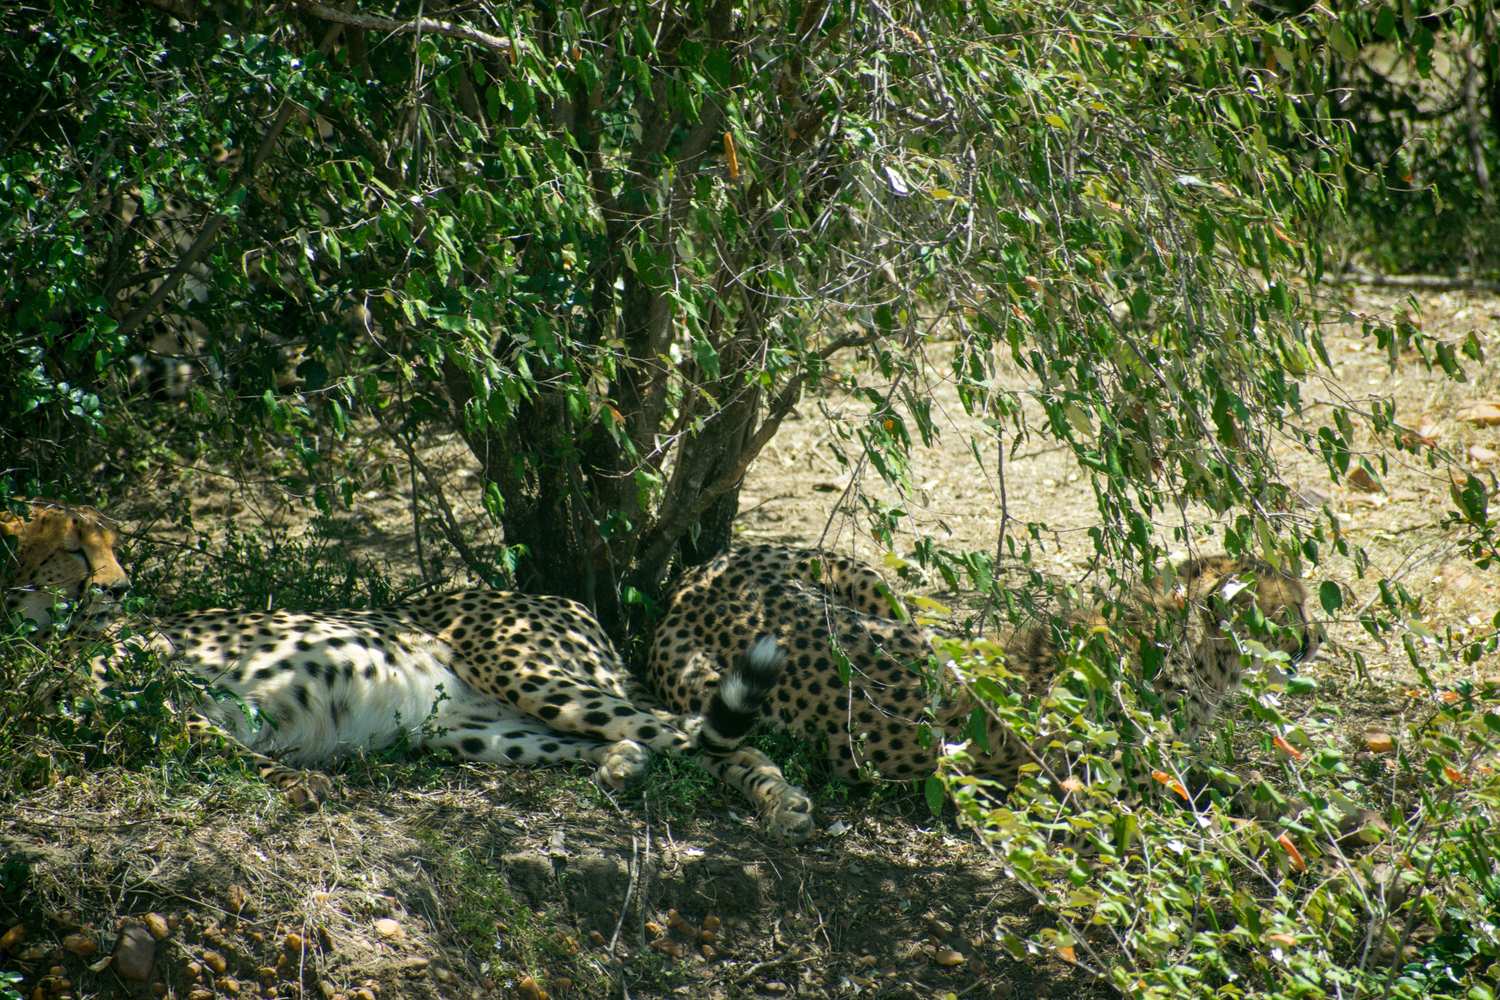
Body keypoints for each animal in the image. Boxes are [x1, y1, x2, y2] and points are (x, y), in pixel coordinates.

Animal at [1, 501, 815, 841]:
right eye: (74, 549)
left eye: (111, 545)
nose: (121, 586)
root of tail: (565, 600)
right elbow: (212, 745)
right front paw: (298, 781)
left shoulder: (170, 701)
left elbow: (221, 747)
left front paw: (300, 785)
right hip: (471, 731)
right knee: (665, 744)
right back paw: (623, 765)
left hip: (531, 673)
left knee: (709, 736)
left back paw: (782, 803)